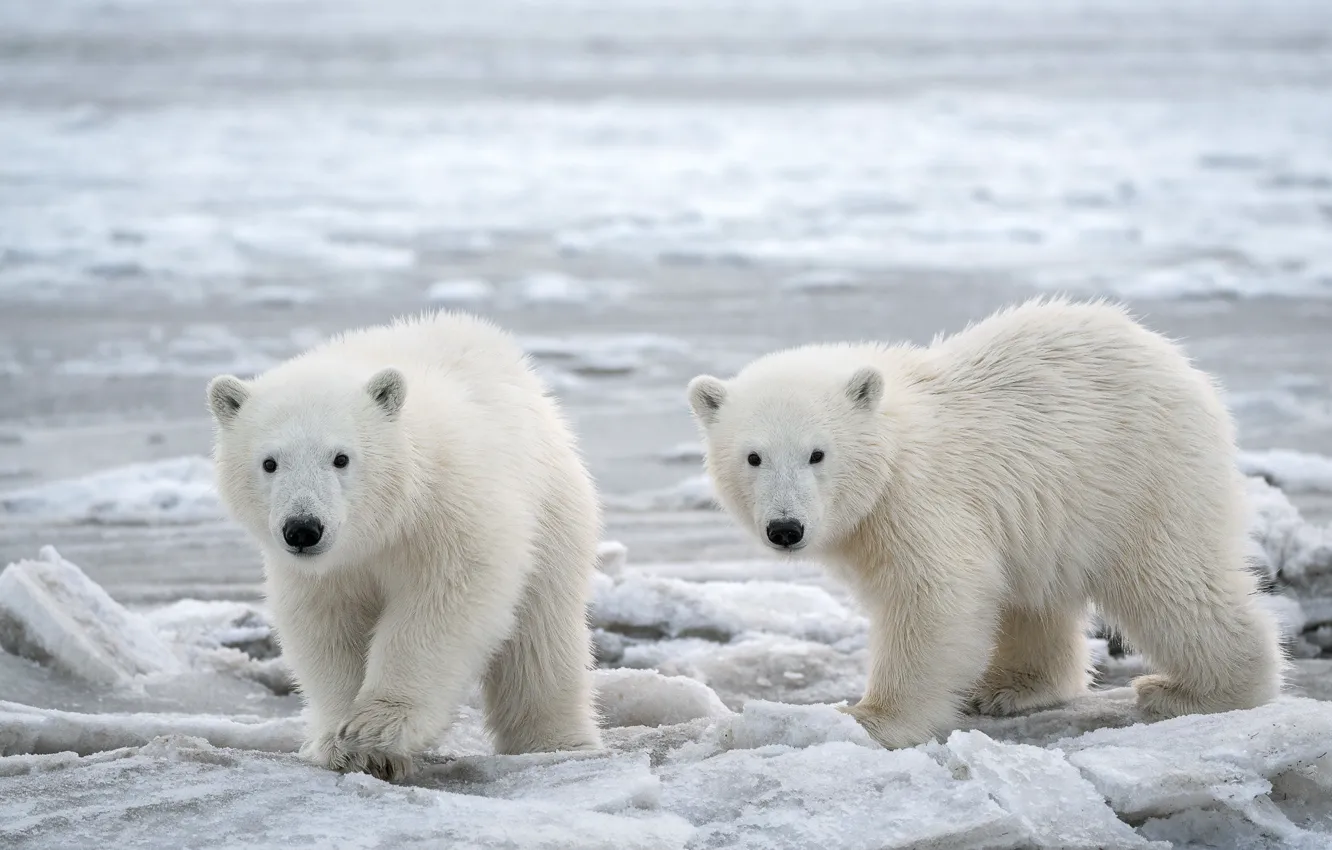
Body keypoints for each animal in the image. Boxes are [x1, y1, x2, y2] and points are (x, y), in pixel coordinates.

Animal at [206, 311, 603, 780]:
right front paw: (341, 741)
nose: (303, 529)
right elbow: (326, 626)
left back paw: (555, 742)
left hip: (551, 509)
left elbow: (444, 603)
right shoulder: (324, 570)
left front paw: (378, 728)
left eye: (341, 457)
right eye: (269, 463)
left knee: (540, 640)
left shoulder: (447, 512)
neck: (382, 526)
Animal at [686, 296, 1284, 749]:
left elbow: (934, 597)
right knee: (1035, 596)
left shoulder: (921, 502)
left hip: (1139, 476)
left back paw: (1196, 691)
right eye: (753, 457)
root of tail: (1181, 365)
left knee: (1171, 581)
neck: (894, 447)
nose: (786, 528)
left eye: (817, 453)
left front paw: (869, 718)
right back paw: (1010, 688)